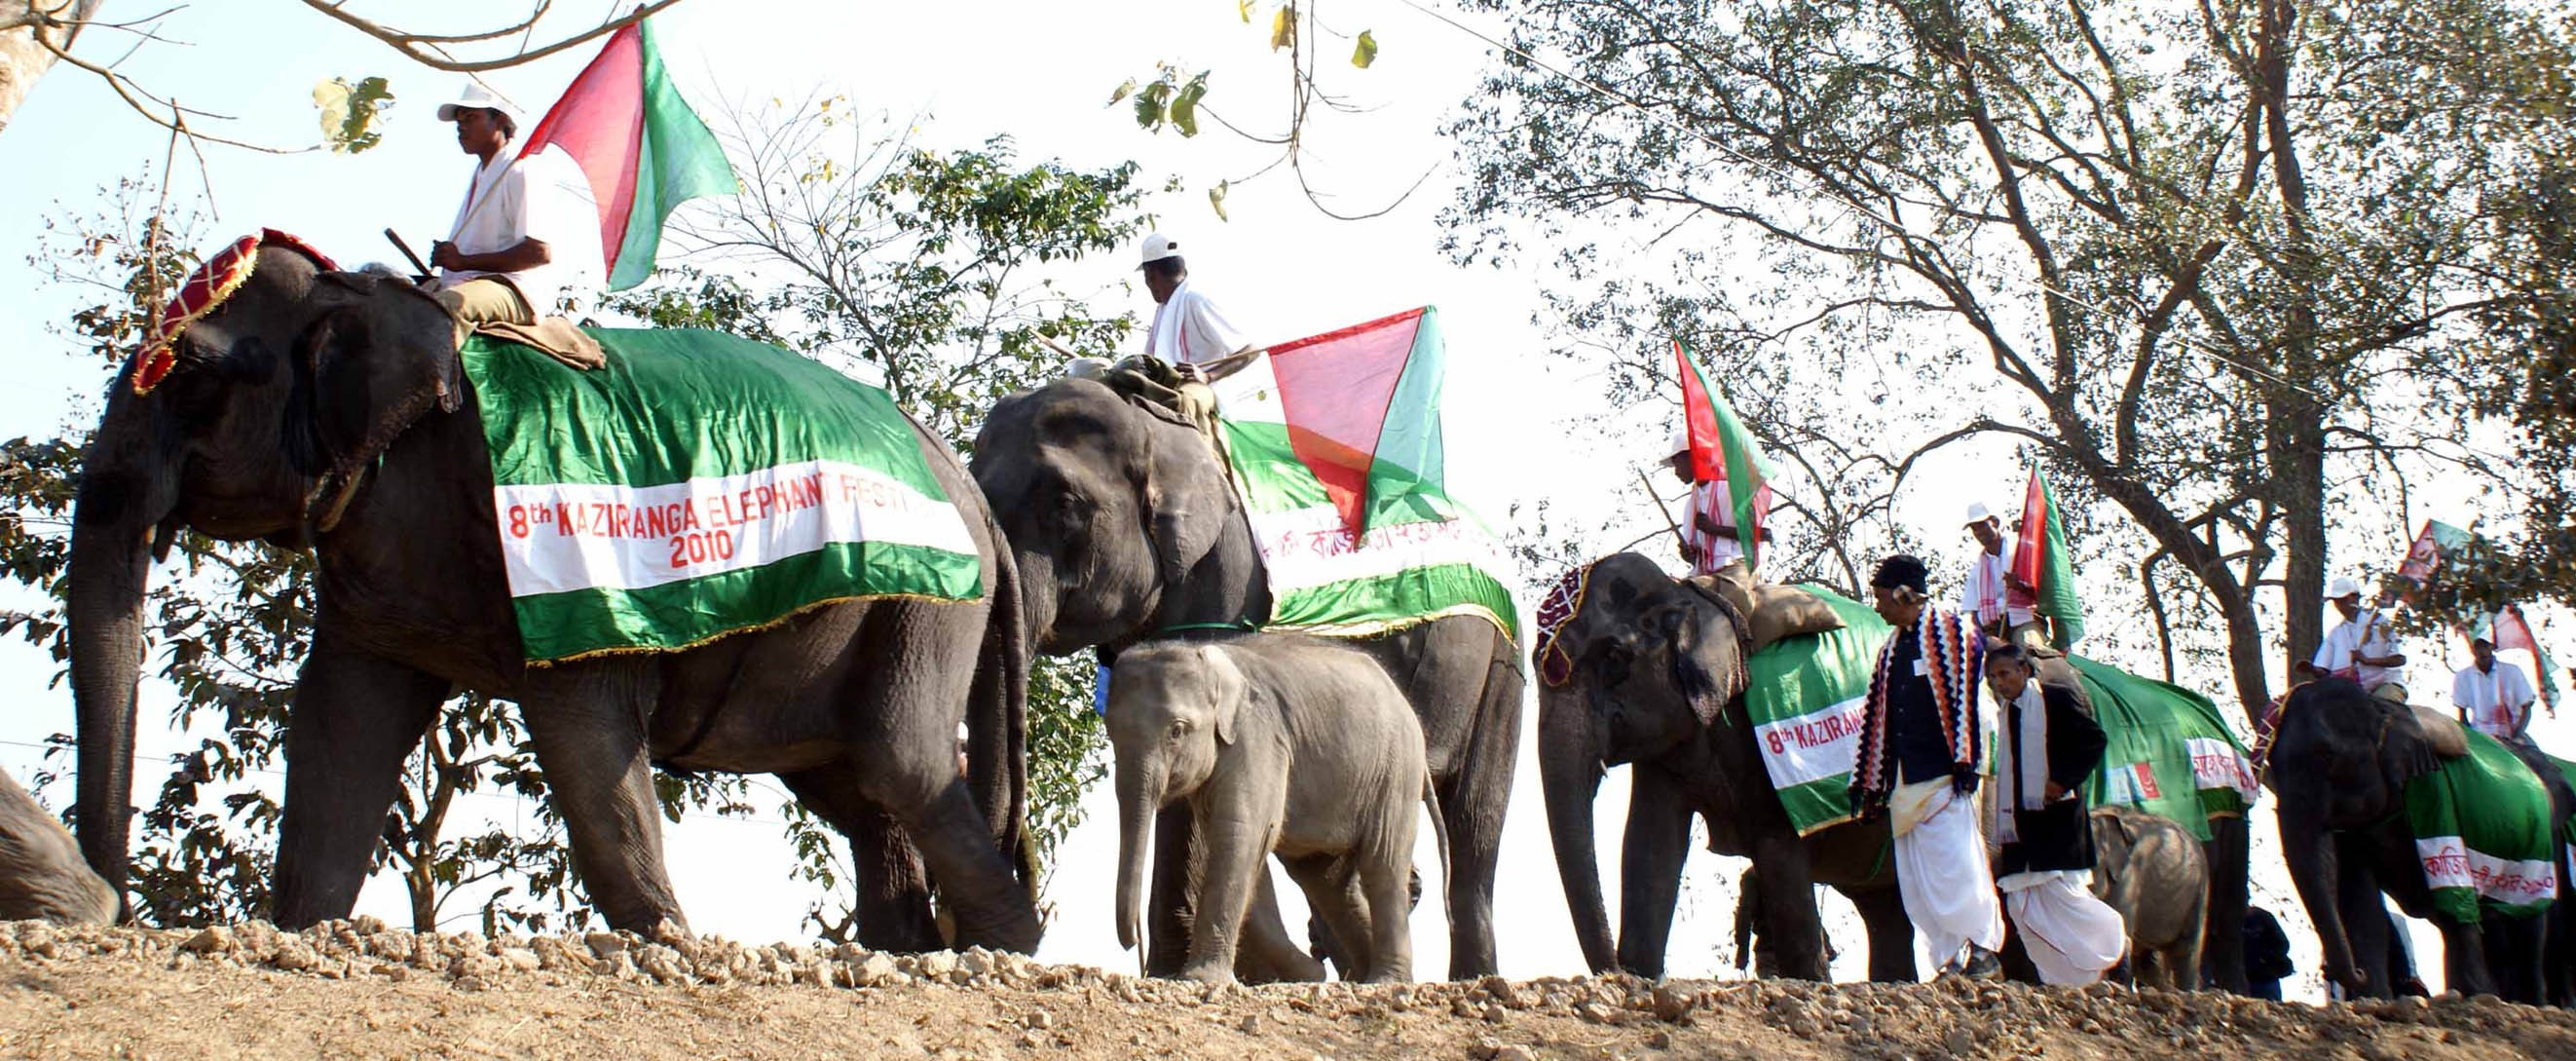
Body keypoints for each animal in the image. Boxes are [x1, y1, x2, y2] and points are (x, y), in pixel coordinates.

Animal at [65, 244, 1039, 951]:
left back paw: (998, 948)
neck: (367, 297)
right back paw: (909, 950)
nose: (111, 916)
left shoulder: (569, 568)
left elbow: (585, 744)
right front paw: (301, 931)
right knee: (855, 784)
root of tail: (974, 493)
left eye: (193, 374)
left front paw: (669, 944)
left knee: (899, 760)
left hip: (929, 598)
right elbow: (341, 718)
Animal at [1108, 636, 1428, 984]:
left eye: (1177, 731)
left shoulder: (1258, 739)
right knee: (1326, 880)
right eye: (1110, 734)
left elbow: (1242, 832)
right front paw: (1308, 973)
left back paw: (1385, 980)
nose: (1133, 941)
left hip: (1396, 771)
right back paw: (1359, 977)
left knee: (1381, 863)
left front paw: (1200, 979)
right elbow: (1244, 844)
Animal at [1537, 552, 1916, 981]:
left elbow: (1778, 851)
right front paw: (1639, 973)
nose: (1613, 970)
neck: (1691, 595)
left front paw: (1810, 980)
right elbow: (1649, 844)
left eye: (1614, 657)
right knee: (1886, 911)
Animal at [2268, 677, 2568, 1001]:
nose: (2339, 973)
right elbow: (2361, 902)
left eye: (2327, 755)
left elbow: (2453, 893)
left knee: (2529, 927)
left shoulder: (2436, 797)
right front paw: (2374, 998)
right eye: (2270, 766)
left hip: (2540, 849)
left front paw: (2473, 996)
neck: (2381, 709)